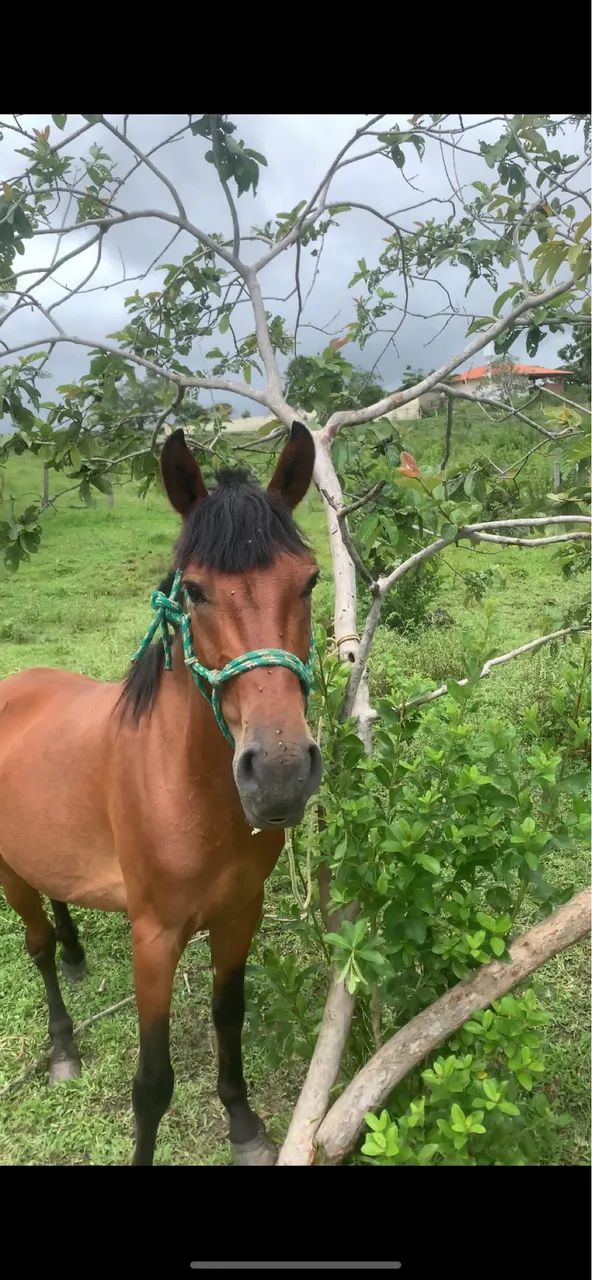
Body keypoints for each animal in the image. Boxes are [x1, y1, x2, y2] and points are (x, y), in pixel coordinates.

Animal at [0, 420, 323, 1166]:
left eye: (310, 581)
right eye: (196, 591)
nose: (280, 771)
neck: (187, 791)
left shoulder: (239, 915)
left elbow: (228, 1016)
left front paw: (244, 1122)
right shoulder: (154, 938)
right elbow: (152, 1083)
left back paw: (76, 952)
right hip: (8, 874)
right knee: (36, 947)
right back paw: (62, 1044)